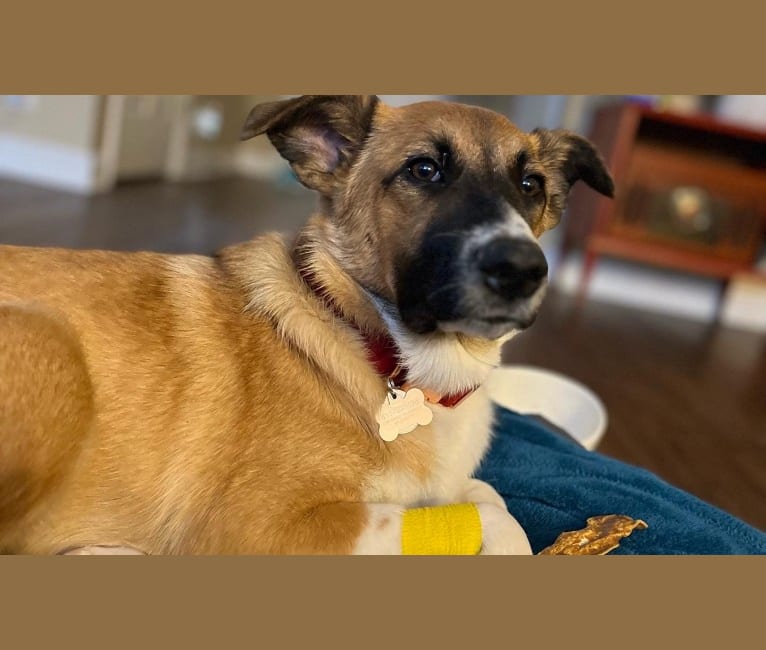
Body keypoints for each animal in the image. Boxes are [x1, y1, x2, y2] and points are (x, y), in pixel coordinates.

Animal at [0, 95, 613, 554]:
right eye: (424, 170)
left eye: (531, 185)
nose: (524, 270)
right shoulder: (262, 526)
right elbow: (495, 519)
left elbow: (486, 494)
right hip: (53, 350)